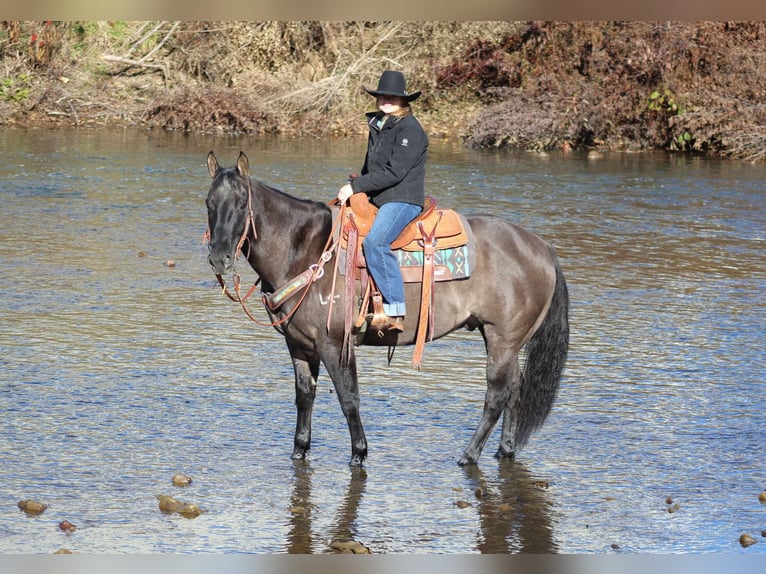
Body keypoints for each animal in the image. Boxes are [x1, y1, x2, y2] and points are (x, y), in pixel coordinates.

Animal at [206, 151, 568, 466]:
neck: (306, 250)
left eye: (241, 203)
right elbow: (304, 396)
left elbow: (348, 398)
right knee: (515, 389)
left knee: (496, 395)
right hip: (505, 342)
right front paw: (300, 450)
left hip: (501, 340)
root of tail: (541, 247)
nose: (219, 258)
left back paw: (469, 454)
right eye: (209, 203)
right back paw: (504, 450)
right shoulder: (298, 344)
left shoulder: (334, 344)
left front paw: (359, 453)